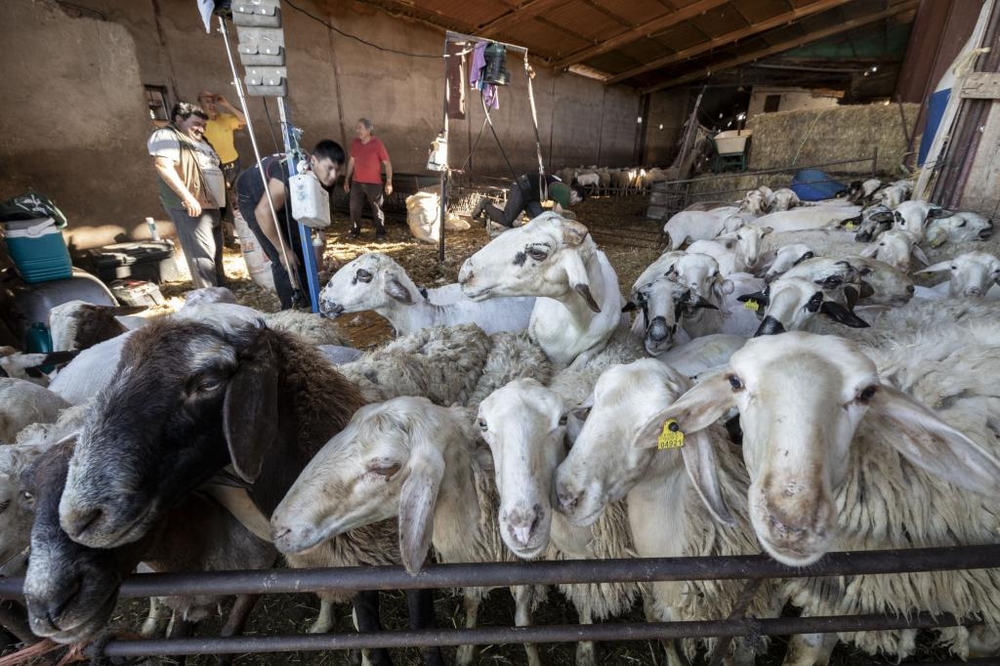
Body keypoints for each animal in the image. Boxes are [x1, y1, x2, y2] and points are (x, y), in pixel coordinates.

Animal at [54, 312, 442, 664]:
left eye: (208, 382)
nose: (80, 517)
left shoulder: (415, 566)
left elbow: (428, 642)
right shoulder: (355, 571)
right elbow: (374, 645)